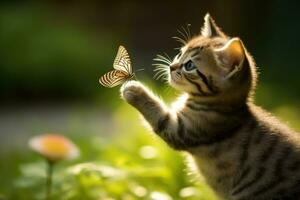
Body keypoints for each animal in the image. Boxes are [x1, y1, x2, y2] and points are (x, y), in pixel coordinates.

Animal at [119, 13, 300, 199]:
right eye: (180, 53)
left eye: (189, 65)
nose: (171, 67)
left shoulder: (183, 130)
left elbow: (159, 116)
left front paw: (133, 90)